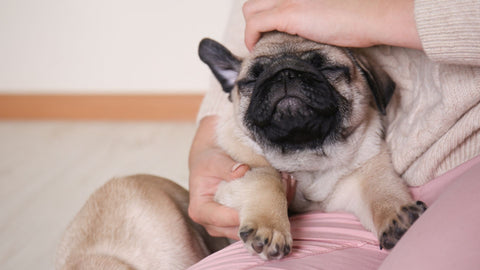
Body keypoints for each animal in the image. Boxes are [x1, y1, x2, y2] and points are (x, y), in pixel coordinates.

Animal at [199, 31, 428, 260]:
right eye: (253, 79)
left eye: (327, 68)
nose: (285, 73)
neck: (305, 153)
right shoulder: (239, 171)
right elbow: (267, 176)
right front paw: (270, 226)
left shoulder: (365, 170)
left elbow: (380, 188)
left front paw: (396, 215)